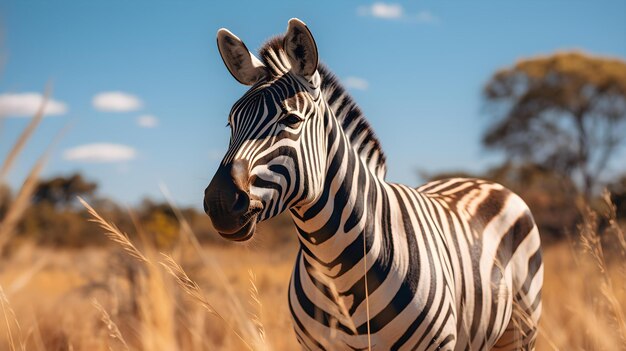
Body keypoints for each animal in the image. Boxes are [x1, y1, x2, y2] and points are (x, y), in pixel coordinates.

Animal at [205, 20, 540, 351]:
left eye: (292, 120)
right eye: (231, 123)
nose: (220, 202)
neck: (333, 269)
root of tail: (482, 182)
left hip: (523, 327)